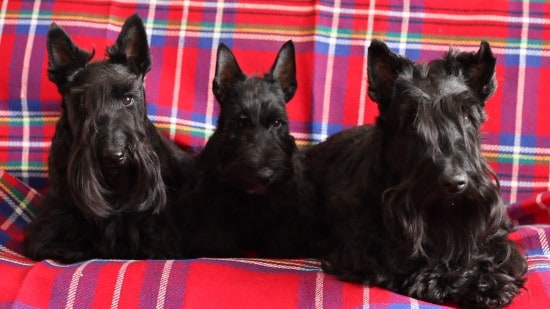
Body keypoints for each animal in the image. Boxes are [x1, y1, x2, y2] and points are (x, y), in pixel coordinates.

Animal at [308, 40, 528, 306]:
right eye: (412, 121)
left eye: (466, 116)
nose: (455, 183)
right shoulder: (370, 248)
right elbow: (417, 261)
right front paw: (476, 283)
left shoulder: (496, 237)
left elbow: (497, 254)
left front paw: (488, 280)